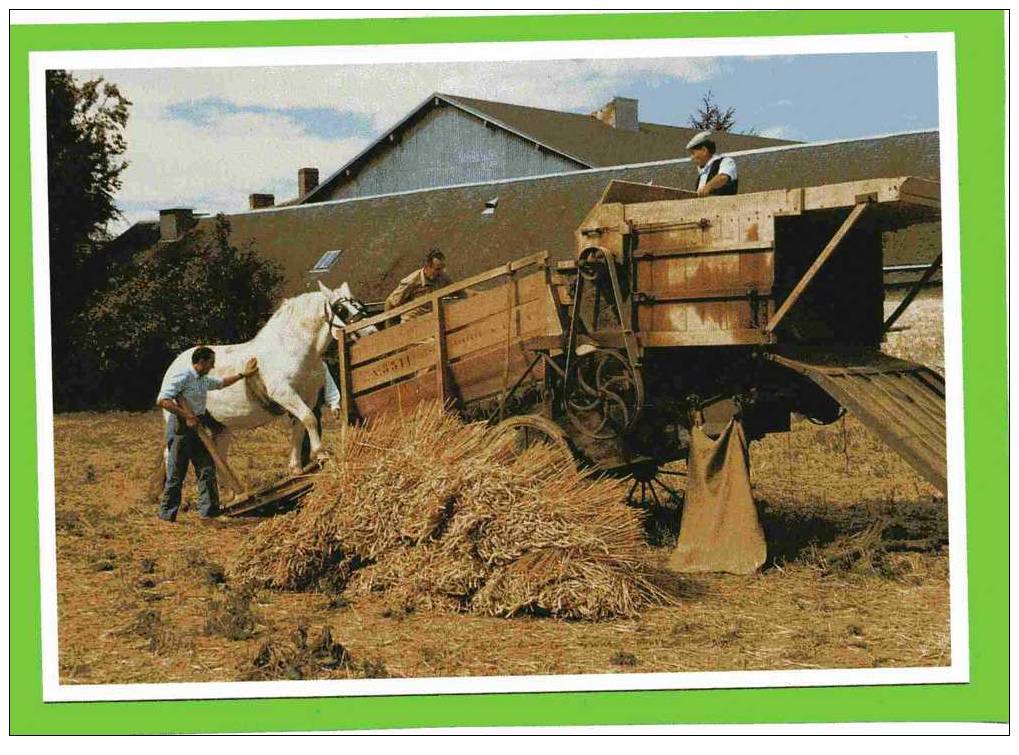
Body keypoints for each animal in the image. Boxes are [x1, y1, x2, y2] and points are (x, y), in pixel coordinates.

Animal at [161, 283, 377, 476]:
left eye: (359, 304)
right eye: (341, 309)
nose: (371, 331)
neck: (290, 349)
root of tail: (172, 369)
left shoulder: (307, 396)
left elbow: (301, 425)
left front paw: (296, 467)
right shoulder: (283, 393)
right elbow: (309, 418)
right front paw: (320, 454)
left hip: (220, 427)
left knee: (218, 458)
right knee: (170, 454)